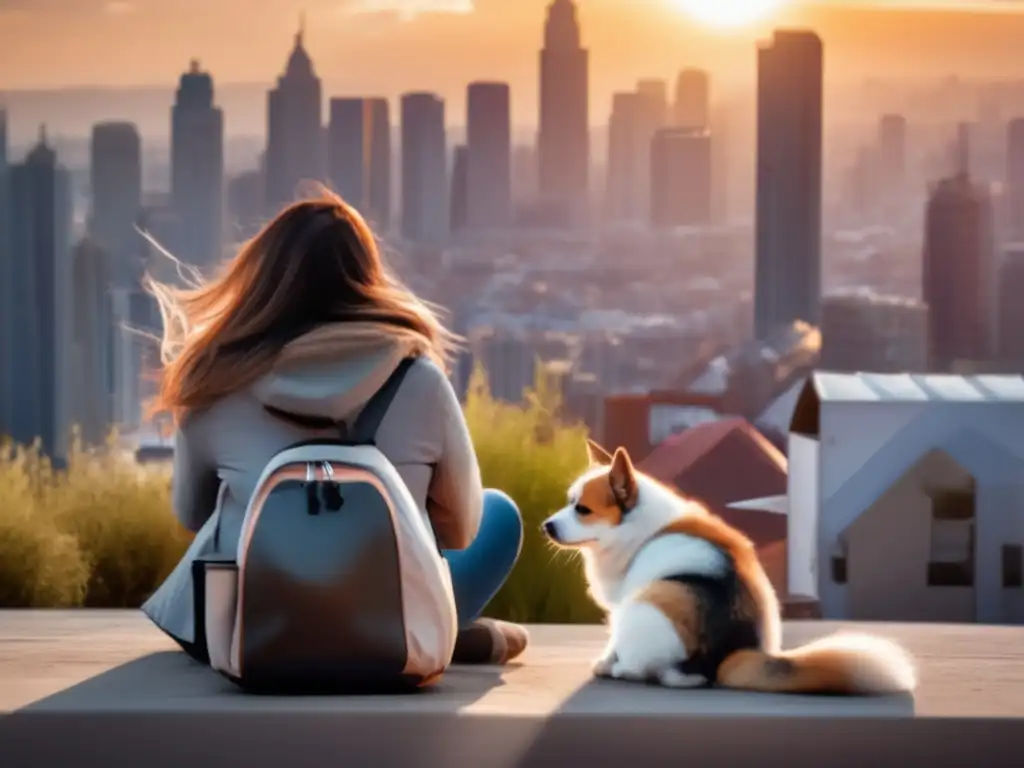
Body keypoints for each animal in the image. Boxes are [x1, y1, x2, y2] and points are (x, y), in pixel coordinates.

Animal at [544, 438, 921, 696]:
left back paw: (624, 670)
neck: (638, 523)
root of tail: (730, 655)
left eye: (582, 509)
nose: (546, 526)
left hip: (652, 598)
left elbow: (611, 643)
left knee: (659, 671)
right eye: (568, 502)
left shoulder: (622, 604)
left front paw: (605, 663)